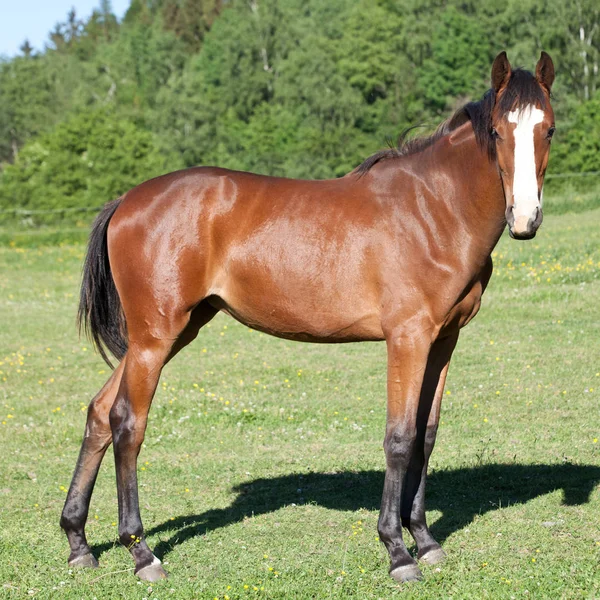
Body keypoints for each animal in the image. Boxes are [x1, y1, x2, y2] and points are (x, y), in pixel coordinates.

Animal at [62, 54, 556, 584]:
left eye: (548, 129)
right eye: (498, 131)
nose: (525, 219)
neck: (433, 209)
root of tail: (126, 202)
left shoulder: (443, 341)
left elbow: (426, 435)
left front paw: (424, 540)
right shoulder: (407, 338)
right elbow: (400, 438)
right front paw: (397, 551)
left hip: (172, 333)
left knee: (99, 413)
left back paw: (79, 543)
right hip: (155, 338)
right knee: (127, 423)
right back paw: (142, 553)